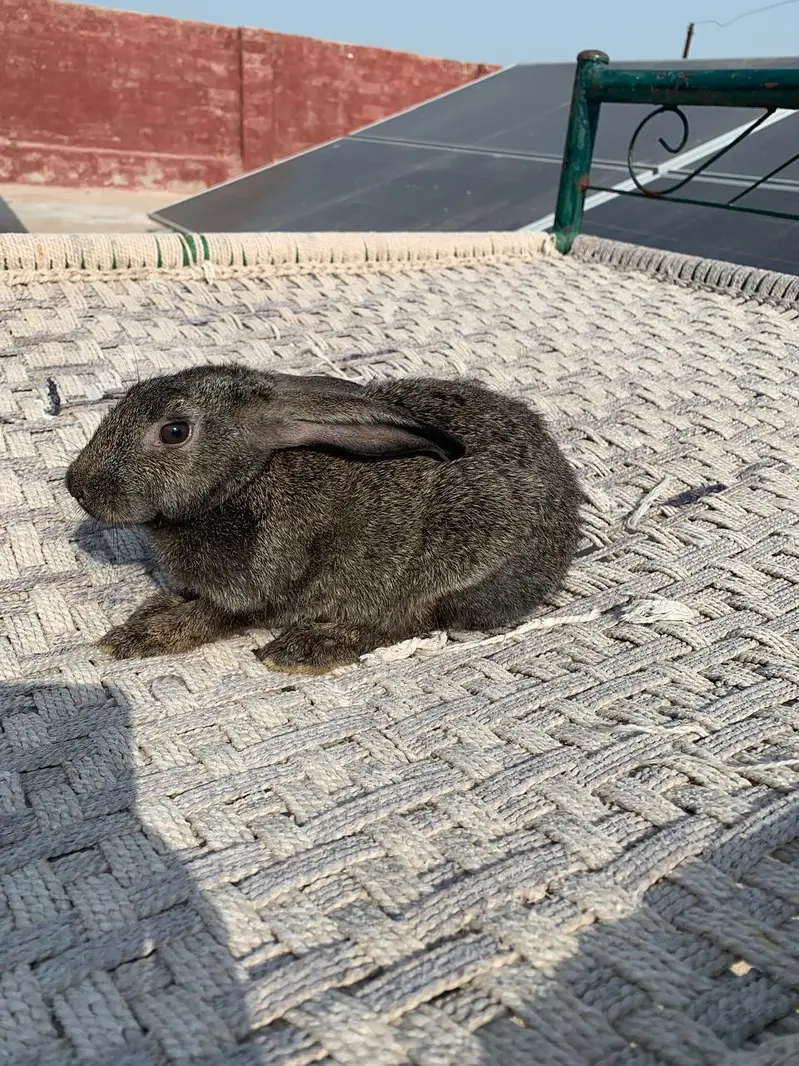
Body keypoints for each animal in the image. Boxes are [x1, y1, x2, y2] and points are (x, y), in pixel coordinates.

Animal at [65, 364, 582, 674]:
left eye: (174, 432)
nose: (76, 485)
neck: (243, 483)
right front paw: (145, 615)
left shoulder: (251, 589)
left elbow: (204, 618)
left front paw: (135, 638)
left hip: (450, 564)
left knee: (405, 622)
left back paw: (303, 649)